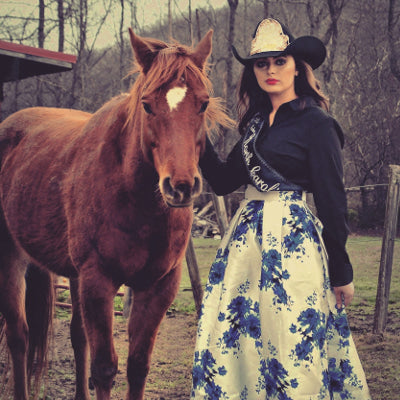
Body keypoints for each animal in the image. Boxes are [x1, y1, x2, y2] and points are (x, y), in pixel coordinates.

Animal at [0, 28, 231, 400]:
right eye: (147, 105)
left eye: (204, 103)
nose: (180, 186)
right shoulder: (99, 281)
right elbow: (105, 368)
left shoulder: (158, 287)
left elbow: (137, 365)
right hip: (11, 256)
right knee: (19, 335)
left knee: (77, 337)